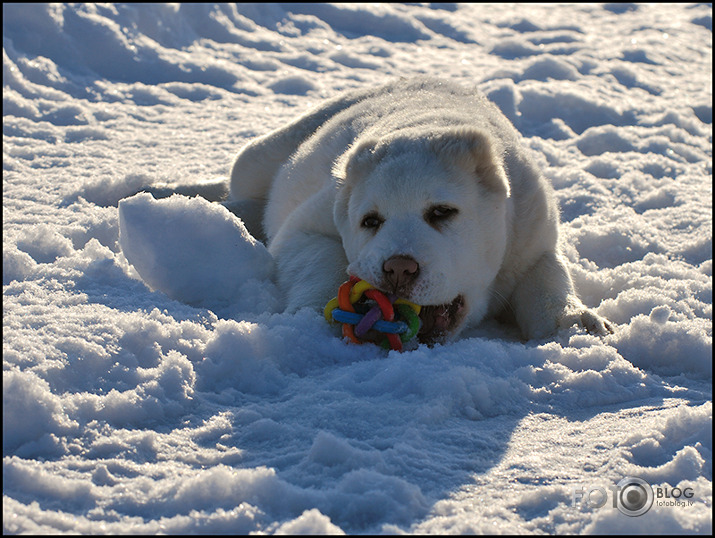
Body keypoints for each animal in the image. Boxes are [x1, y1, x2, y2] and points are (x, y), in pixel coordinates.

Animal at [225, 77, 616, 342]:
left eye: (442, 212)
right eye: (370, 221)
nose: (398, 269)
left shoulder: (531, 232)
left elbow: (547, 278)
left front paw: (579, 326)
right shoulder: (310, 221)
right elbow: (318, 254)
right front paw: (314, 316)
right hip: (263, 154)